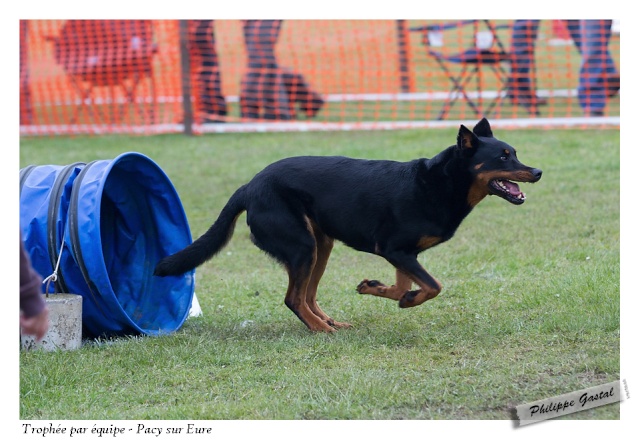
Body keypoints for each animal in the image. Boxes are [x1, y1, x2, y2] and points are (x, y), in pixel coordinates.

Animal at [155, 118, 540, 332]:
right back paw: (321, 331)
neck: (441, 183)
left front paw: (382, 290)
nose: (537, 172)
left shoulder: (403, 255)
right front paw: (406, 298)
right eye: (503, 156)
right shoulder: (396, 250)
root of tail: (249, 186)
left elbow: (404, 287)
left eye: (516, 153)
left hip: (320, 246)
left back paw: (329, 322)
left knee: (307, 295)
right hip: (302, 246)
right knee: (293, 299)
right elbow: (434, 285)